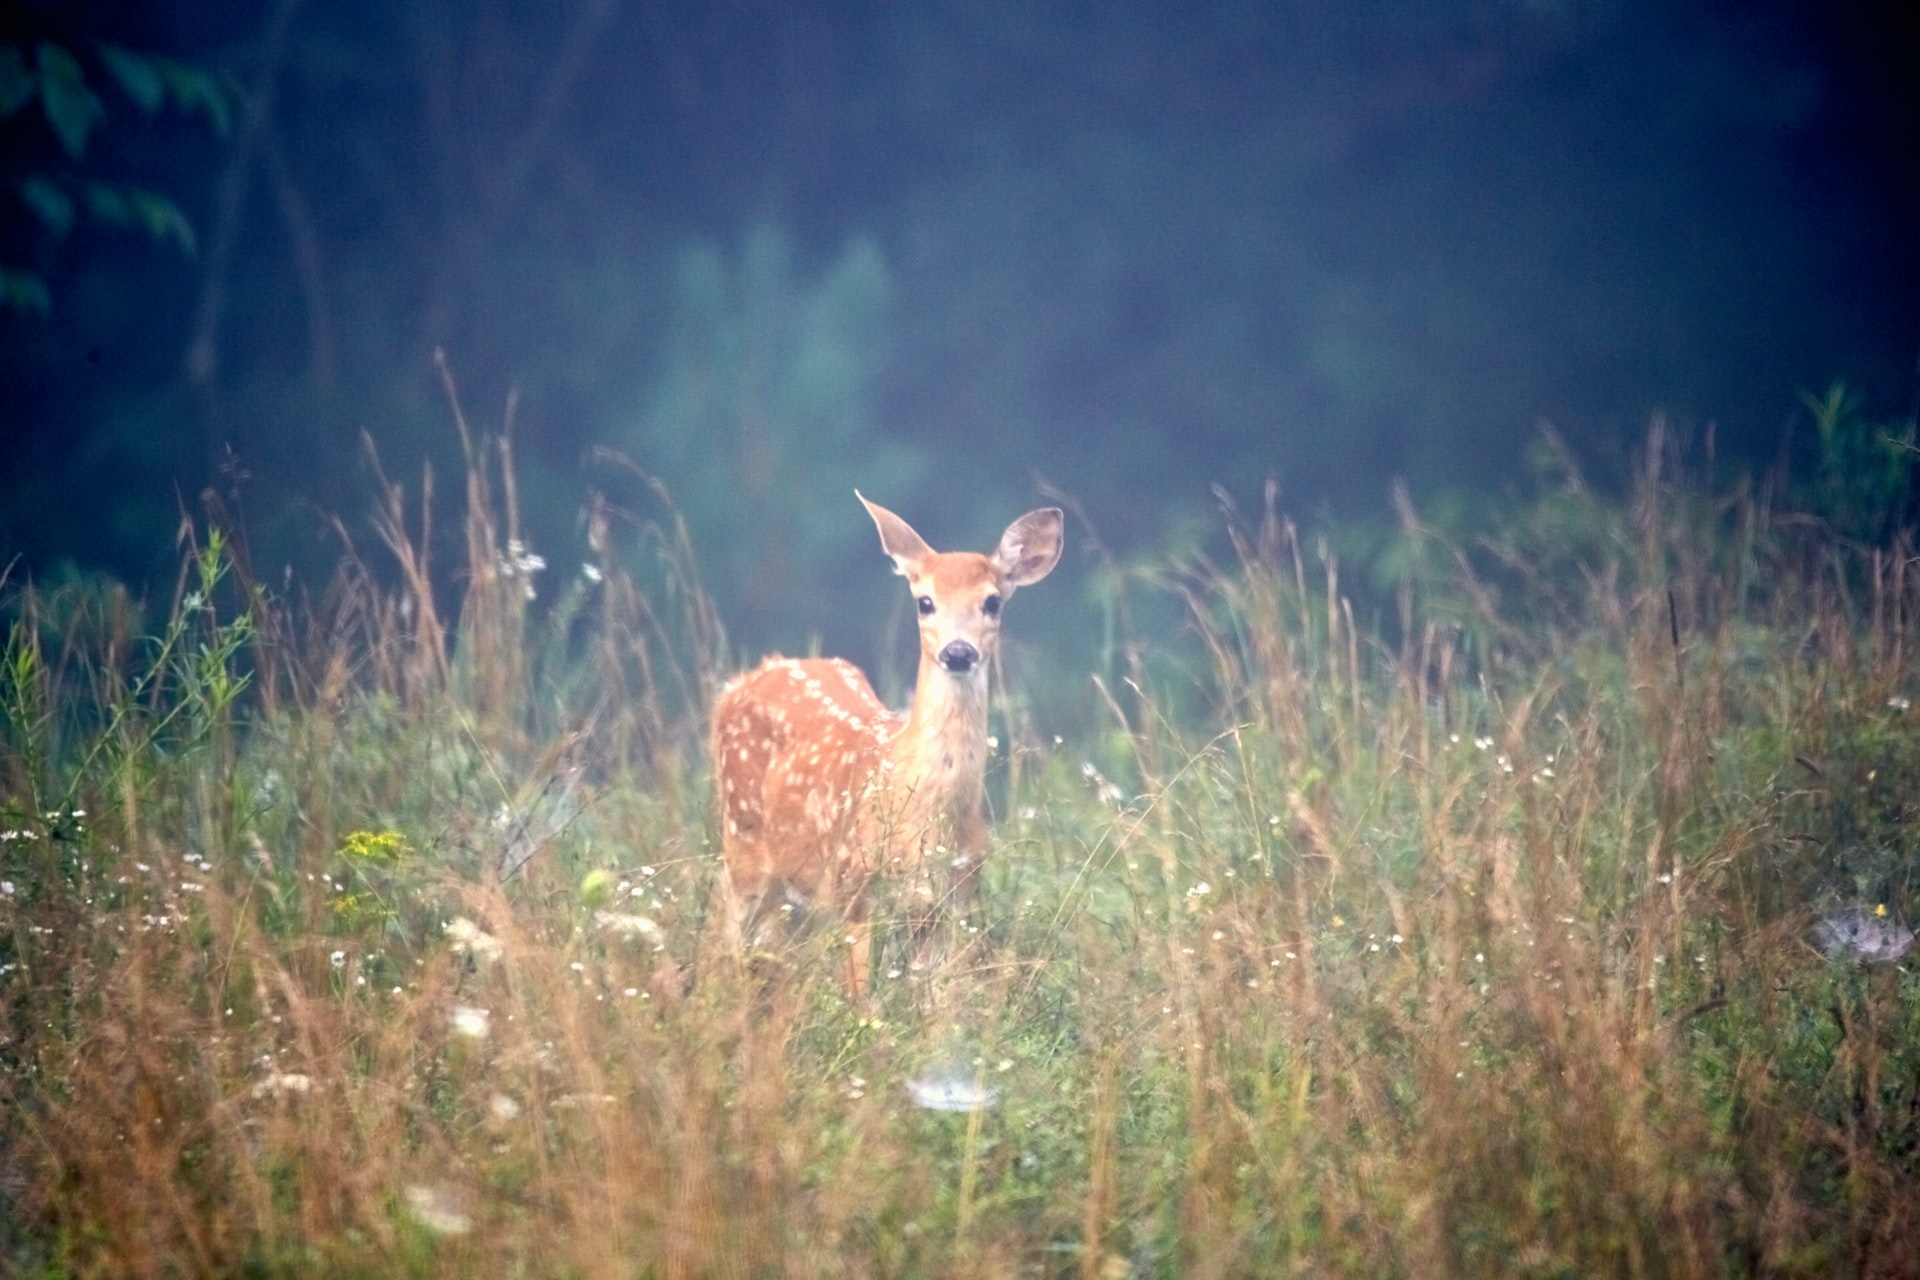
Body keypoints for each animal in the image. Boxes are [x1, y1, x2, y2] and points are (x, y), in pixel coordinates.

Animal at [712, 493, 1064, 997]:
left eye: (992, 601)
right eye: (925, 602)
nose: (959, 652)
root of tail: (743, 680)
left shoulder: (950, 904)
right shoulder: (854, 891)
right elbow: (861, 1001)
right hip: (742, 842)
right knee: (725, 938)